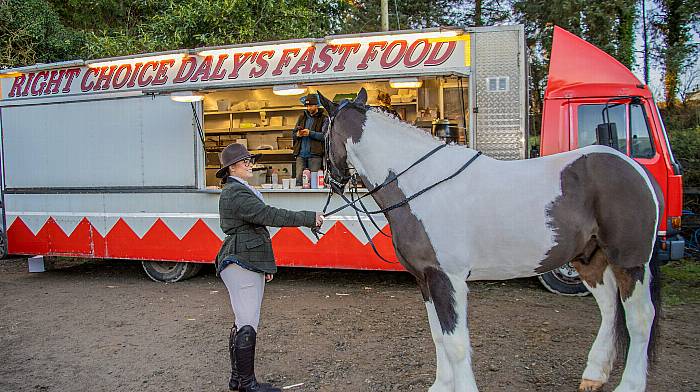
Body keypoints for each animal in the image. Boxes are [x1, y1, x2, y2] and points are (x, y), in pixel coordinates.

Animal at [318, 89, 660, 392]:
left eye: (322, 131)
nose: (331, 180)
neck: (421, 182)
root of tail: (635, 168)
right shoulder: (425, 279)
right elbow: (438, 336)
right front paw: (441, 386)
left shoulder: (448, 279)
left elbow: (456, 342)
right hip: (589, 259)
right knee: (610, 308)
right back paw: (594, 375)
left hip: (630, 262)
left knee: (640, 318)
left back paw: (629, 386)